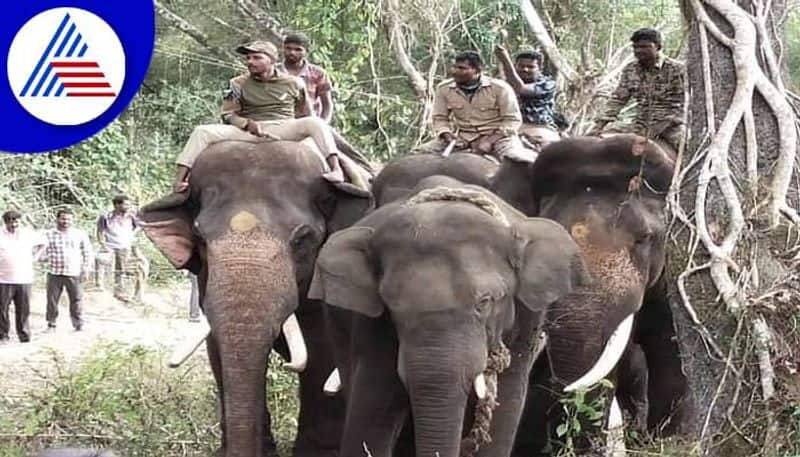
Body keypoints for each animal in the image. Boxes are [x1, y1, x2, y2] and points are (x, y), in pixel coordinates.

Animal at [306, 181, 588, 456]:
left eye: (485, 301)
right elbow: (372, 409)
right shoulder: (371, 327)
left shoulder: (527, 319)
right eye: (391, 305)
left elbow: (506, 407)